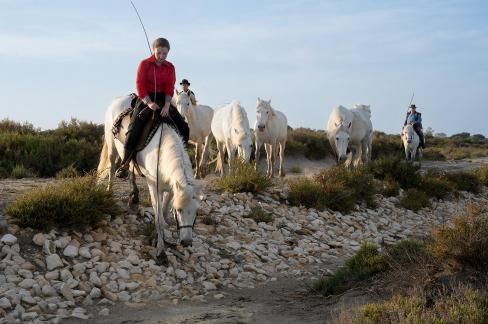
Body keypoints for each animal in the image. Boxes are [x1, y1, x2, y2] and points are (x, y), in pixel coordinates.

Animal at [97, 94, 200, 266]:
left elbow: (163, 214)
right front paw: (161, 252)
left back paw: (134, 197)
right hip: (112, 148)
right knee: (112, 168)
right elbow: (158, 218)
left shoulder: (172, 188)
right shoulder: (154, 186)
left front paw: (160, 239)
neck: (162, 151)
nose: (186, 242)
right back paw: (109, 191)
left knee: (131, 169)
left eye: (196, 212)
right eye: (179, 210)